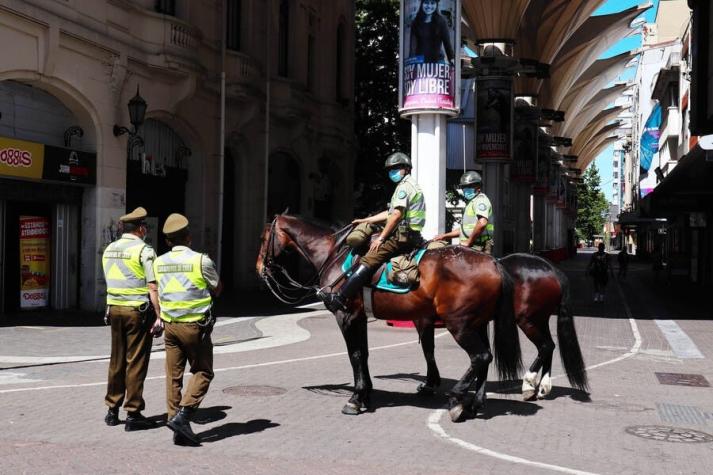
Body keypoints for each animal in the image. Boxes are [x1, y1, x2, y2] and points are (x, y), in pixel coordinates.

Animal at [254, 214, 516, 422]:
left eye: (263, 238)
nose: (258, 268)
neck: (331, 254)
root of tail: (493, 262)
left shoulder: (345, 316)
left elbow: (355, 355)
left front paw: (355, 398)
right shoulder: (360, 318)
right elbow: (364, 355)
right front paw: (365, 394)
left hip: (459, 325)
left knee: (480, 356)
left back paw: (457, 399)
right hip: (477, 324)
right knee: (485, 358)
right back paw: (474, 404)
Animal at [414, 253, 588, 402]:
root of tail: (552, 270)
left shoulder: (424, 321)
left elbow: (428, 351)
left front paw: (429, 385)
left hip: (528, 321)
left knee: (545, 346)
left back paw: (528, 384)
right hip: (540, 320)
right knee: (549, 346)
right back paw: (543, 388)